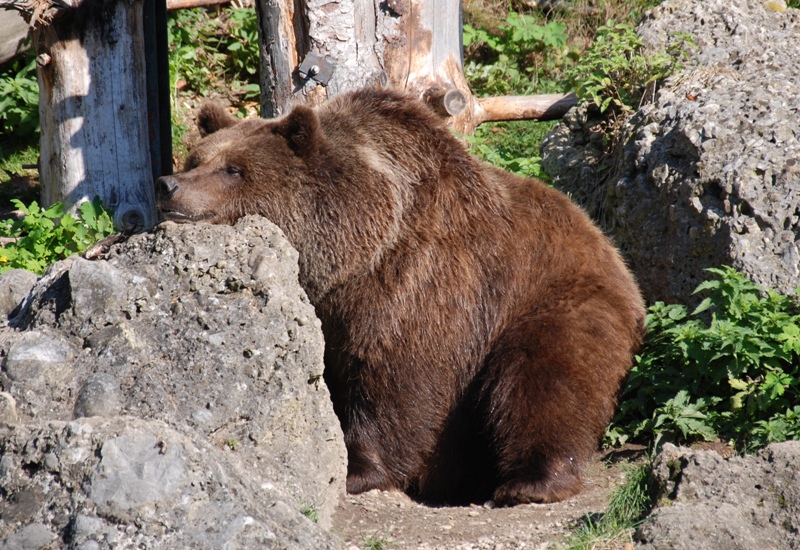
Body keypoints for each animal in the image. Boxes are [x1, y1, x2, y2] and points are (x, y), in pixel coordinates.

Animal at [156, 88, 646, 506]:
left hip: (552, 298)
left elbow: (396, 379)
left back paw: (531, 482)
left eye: (234, 169)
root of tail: (609, 246)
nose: (169, 185)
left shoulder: (418, 284)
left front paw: (356, 470)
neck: (345, 263)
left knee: (544, 377)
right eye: (196, 158)